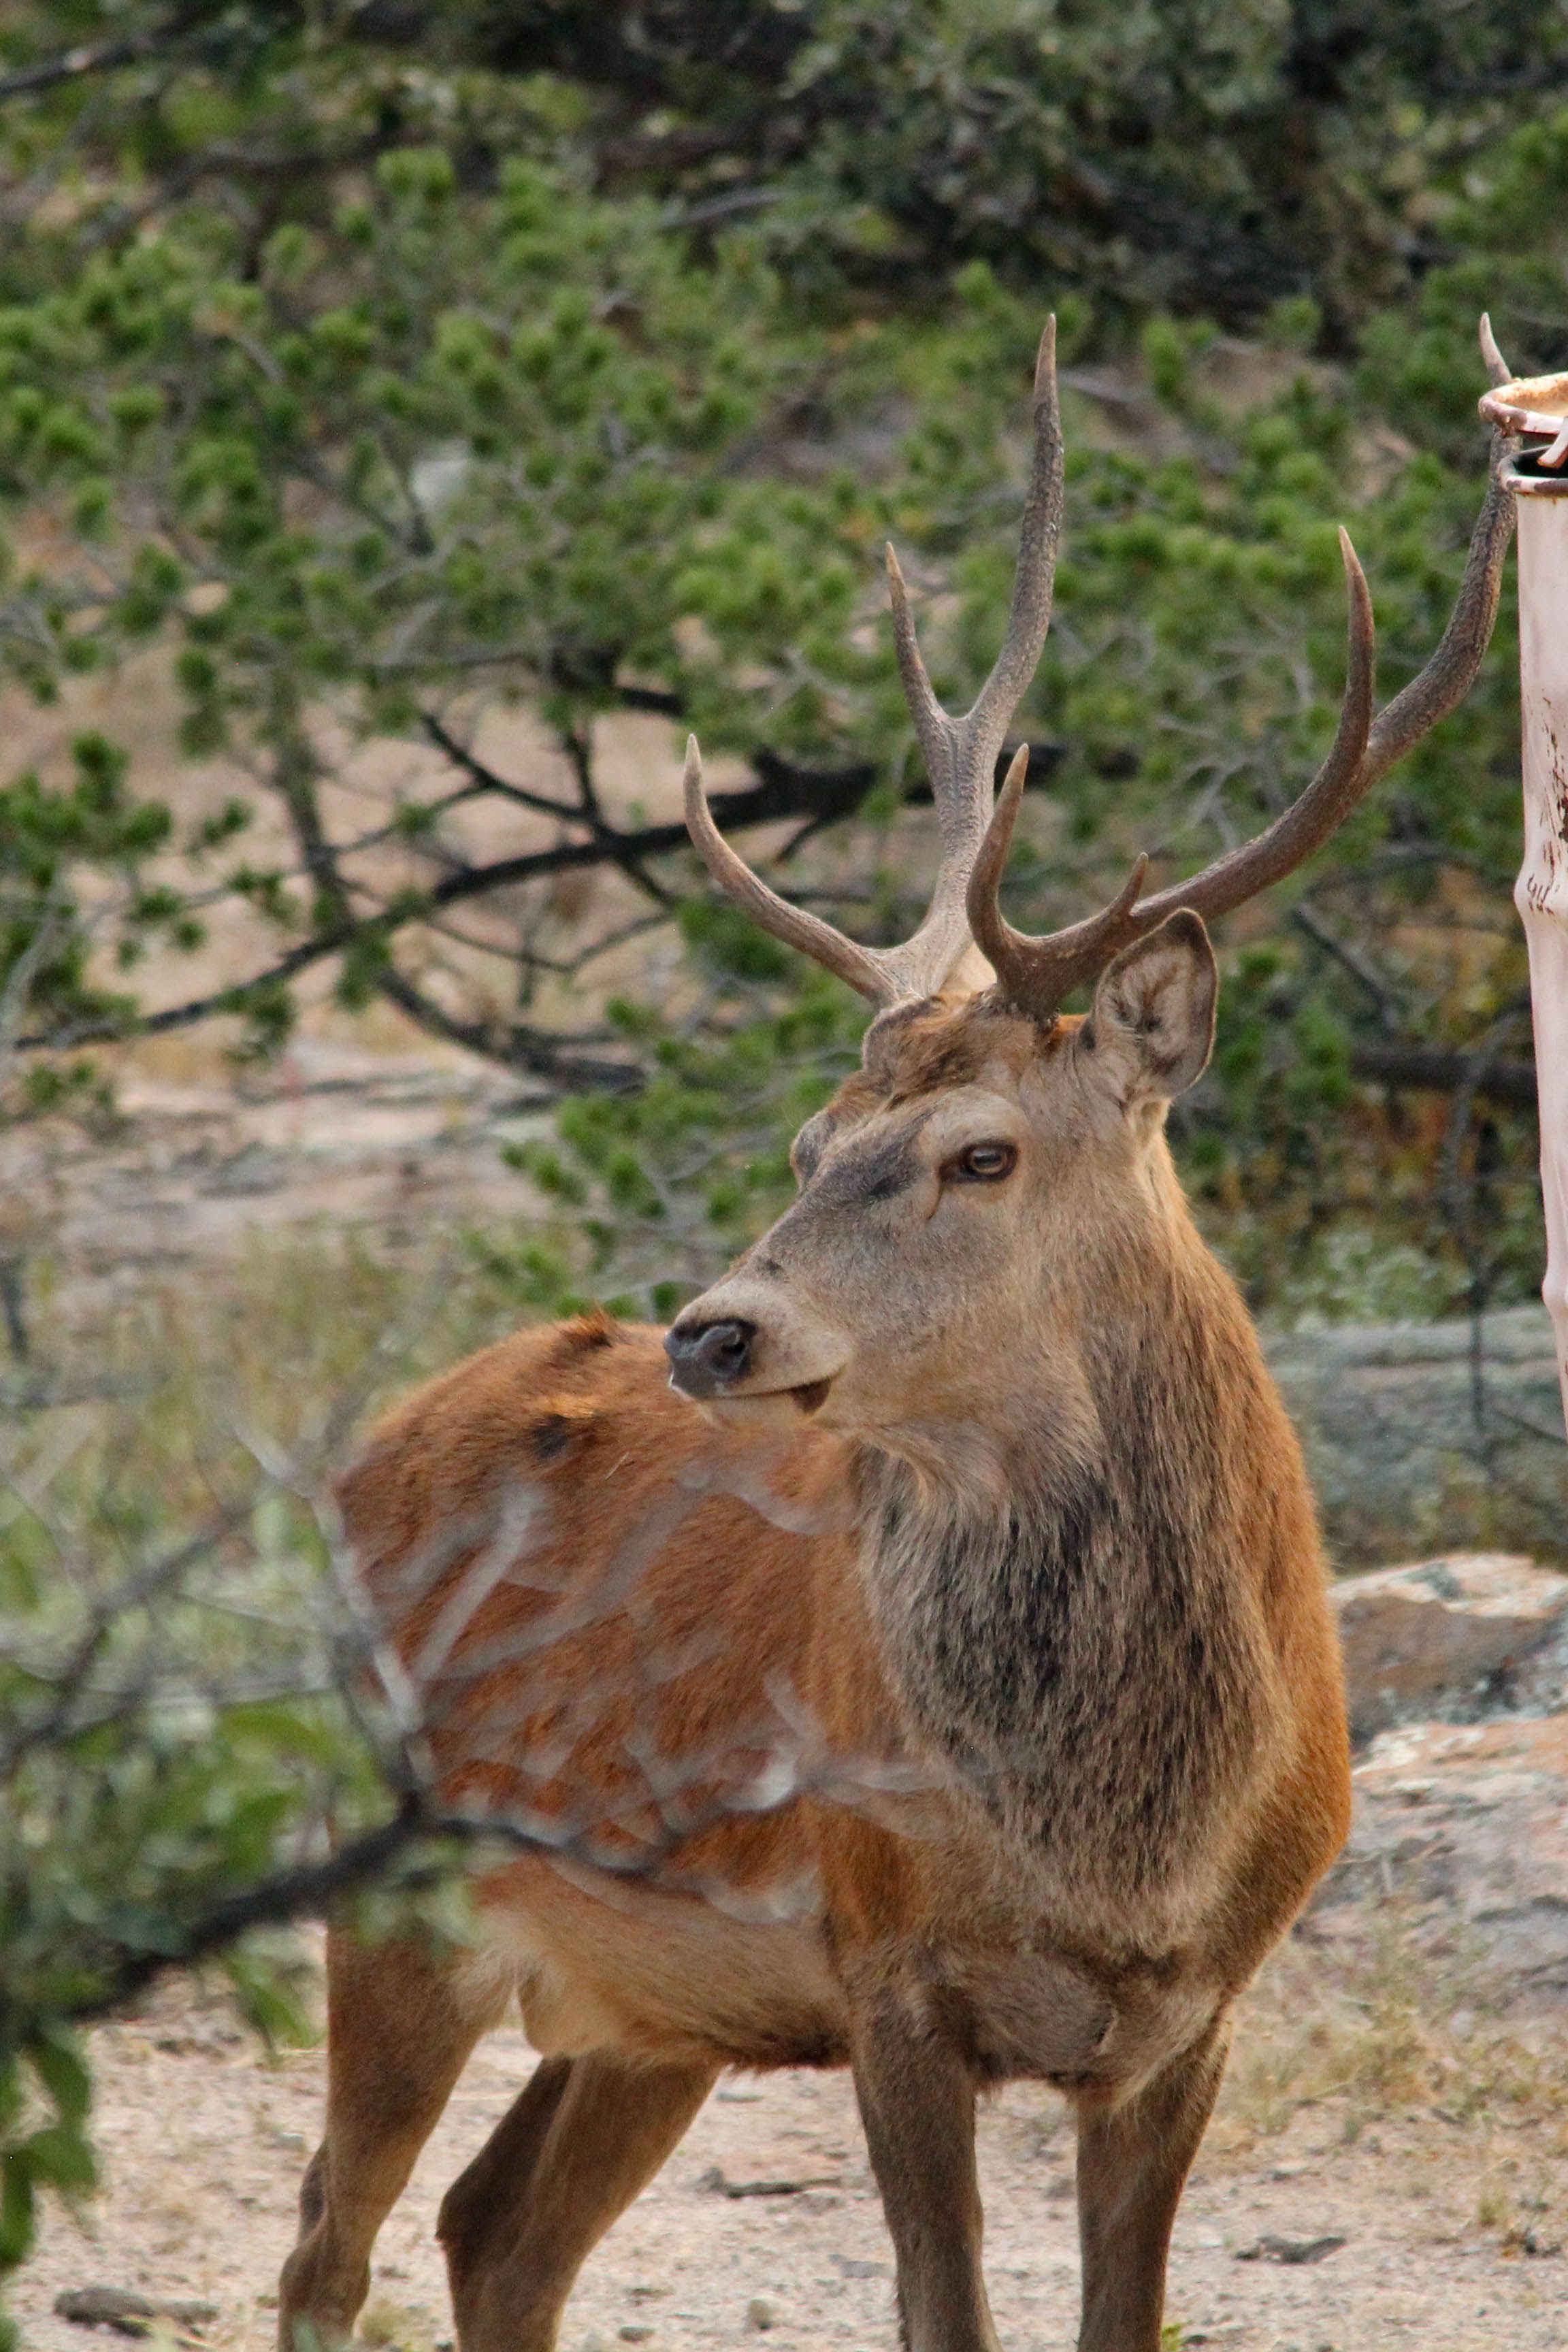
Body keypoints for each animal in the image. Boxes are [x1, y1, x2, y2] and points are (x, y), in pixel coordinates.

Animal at [279, 321, 1514, 2352]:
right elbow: (948, 2315)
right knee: (333, 2235)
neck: (1117, 1848)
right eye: (807, 1137)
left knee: (495, 2230)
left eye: (978, 1149)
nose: (712, 1328)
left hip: (655, 2008)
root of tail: (373, 1437)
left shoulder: (1194, 2020)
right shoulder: (887, 1972)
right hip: (397, 1877)